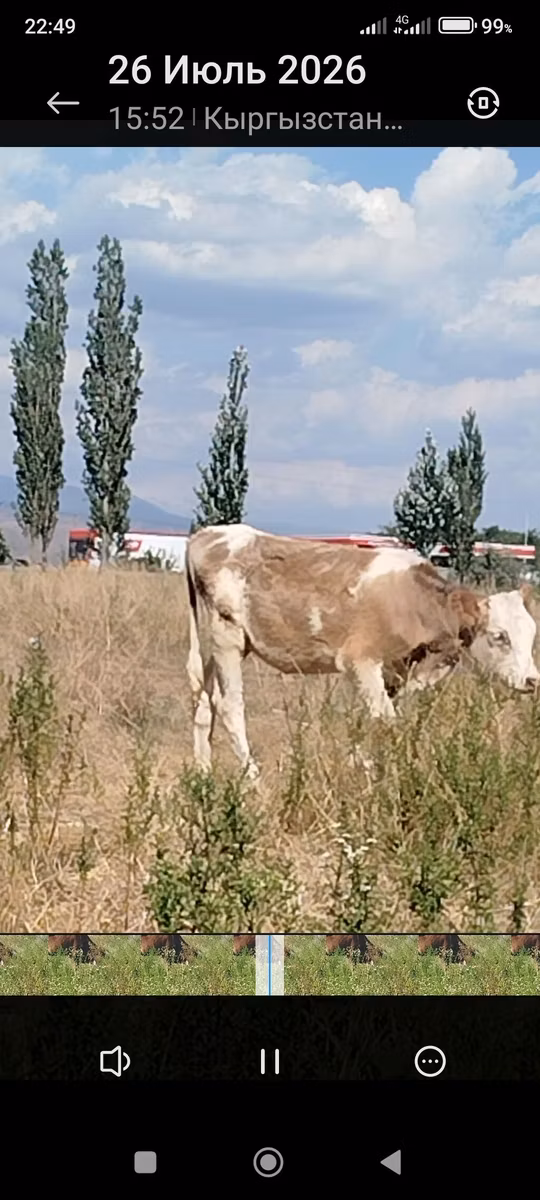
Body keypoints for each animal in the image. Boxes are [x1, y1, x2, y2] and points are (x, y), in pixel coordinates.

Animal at [185, 524, 539, 778]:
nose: (532, 680)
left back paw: (203, 775)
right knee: (229, 705)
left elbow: (374, 718)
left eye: (531, 634)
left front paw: (359, 759)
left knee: (203, 699)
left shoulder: (397, 670)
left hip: (221, 644)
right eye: (499, 636)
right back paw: (252, 777)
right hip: (227, 637)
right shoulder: (361, 661)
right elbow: (384, 719)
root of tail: (206, 535)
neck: (412, 599)